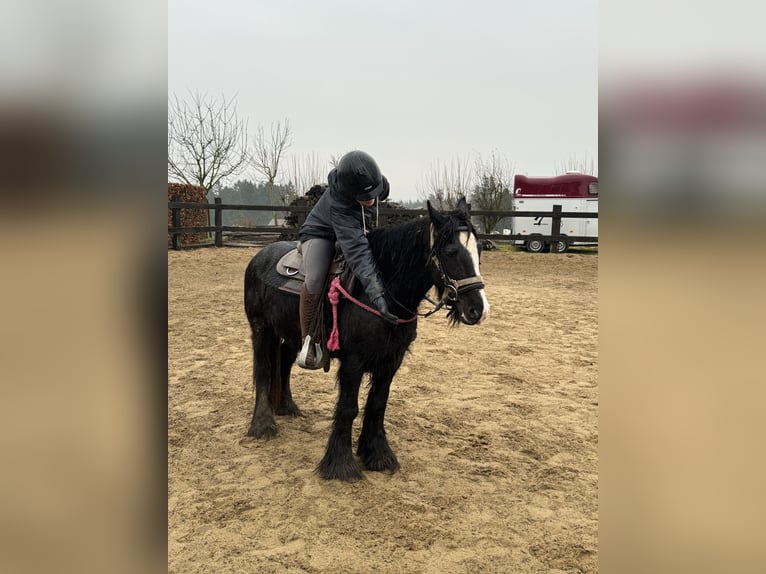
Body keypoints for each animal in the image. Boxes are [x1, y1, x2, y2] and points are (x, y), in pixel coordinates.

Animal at [243, 197, 488, 482]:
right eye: (450, 251)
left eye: (478, 249)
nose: (478, 309)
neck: (380, 294)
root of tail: (259, 257)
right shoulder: (353, 362)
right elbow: (349, 407)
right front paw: (340, 464)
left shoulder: (391, 361)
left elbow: (377, 404)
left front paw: (377, 454)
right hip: (261, 329)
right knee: (263, 369)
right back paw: (263, 424)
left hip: (294, 334)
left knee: (283, 360)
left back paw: (287, 406)